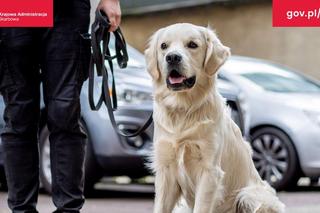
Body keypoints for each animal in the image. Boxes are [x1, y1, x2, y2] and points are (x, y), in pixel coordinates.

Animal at [145, 22, 284, 213]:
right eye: (164, 46)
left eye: (192, 45)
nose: (172, 57)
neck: (184, 110)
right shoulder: (166, 168)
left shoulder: (210, 170)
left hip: (249, 195)